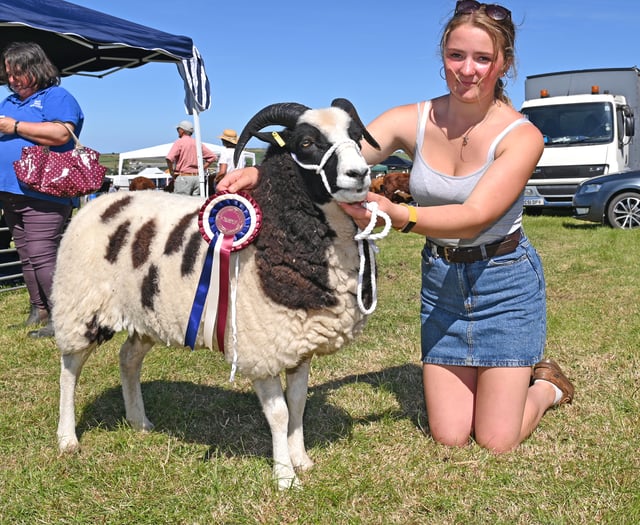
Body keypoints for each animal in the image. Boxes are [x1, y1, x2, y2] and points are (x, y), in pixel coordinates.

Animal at [53, 97, 380, 488]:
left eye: (356, 136)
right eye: (306, 142)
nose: (359, 175)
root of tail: (100, 202)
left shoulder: (297, 342)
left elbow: (299, 403)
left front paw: (301, 460)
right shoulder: (261, 348)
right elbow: (280, 414)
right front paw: (285, 477)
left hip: (145, 314)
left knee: (128, 359)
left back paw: (139, 421)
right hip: (79, 304)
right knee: (70, 369)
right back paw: (67, 438)